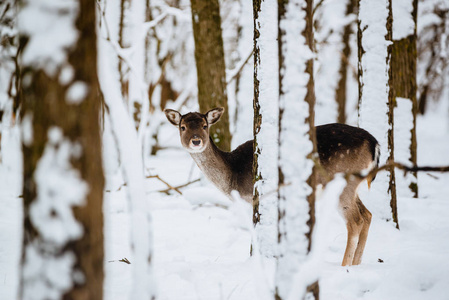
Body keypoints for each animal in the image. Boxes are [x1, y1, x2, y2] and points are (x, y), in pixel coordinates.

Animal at [164, 106, 378, 266]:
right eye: (182, 127)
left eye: (204, 125)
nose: (196, 140)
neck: (233, 176)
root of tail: (374, 144)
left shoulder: (256, 197)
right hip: (354, 184)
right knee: (367, 214)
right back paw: (357, 264)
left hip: (343, 180)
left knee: (355, 221)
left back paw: (345, 266)